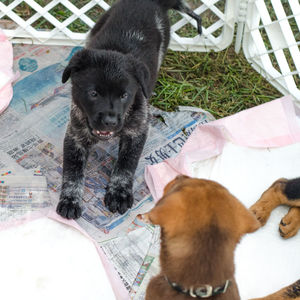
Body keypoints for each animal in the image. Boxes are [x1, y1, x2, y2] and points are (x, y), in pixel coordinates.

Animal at [56, 0, 202, 219]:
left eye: (124, 95)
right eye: (93, 93)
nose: (110, 122)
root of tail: (152, 2)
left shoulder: (137, 131)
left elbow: (126, 164)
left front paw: (119, 192)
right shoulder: (76, 135)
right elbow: (72, 171)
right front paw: (70, 199)